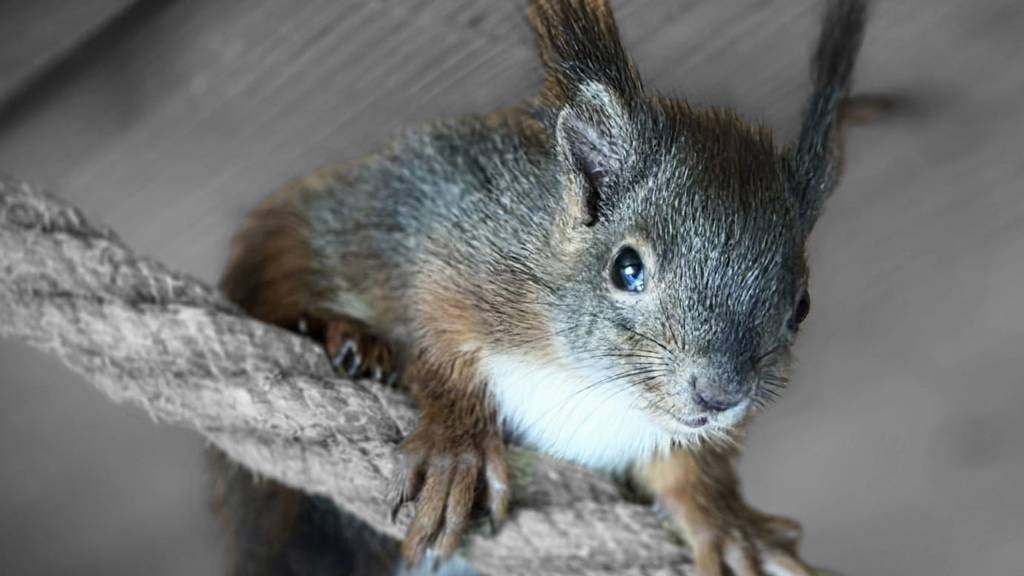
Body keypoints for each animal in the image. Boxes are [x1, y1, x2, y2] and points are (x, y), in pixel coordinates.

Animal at [220, 0, 867, 574]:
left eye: (802, 307)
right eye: (626, 268)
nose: (720, 394)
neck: (594, 384)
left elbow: (687, 467)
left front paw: (725, 519)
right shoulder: (456, 237)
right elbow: (434, 327)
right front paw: (458, 441)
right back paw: (347, 335)